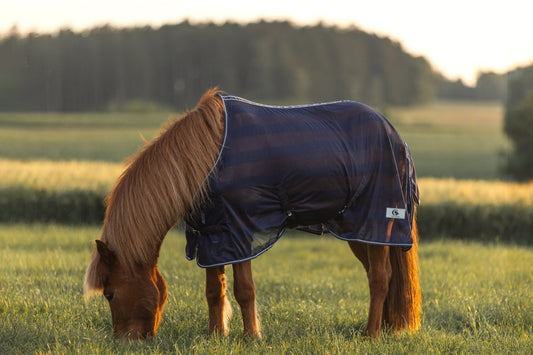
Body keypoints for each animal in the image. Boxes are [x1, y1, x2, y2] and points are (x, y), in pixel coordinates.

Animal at [83, 89, 420, 342]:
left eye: (110, 294)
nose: (125, 341)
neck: (207, 161)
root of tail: (396, 136)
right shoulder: (212, 235)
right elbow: (213, 290)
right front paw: (216, 335)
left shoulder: (240, 230)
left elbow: (244, 290)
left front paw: (251, 337)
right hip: (358, 231)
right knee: (382, 275)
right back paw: (385, 328)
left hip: (377, 220)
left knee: (379, 277)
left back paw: (371, 334)